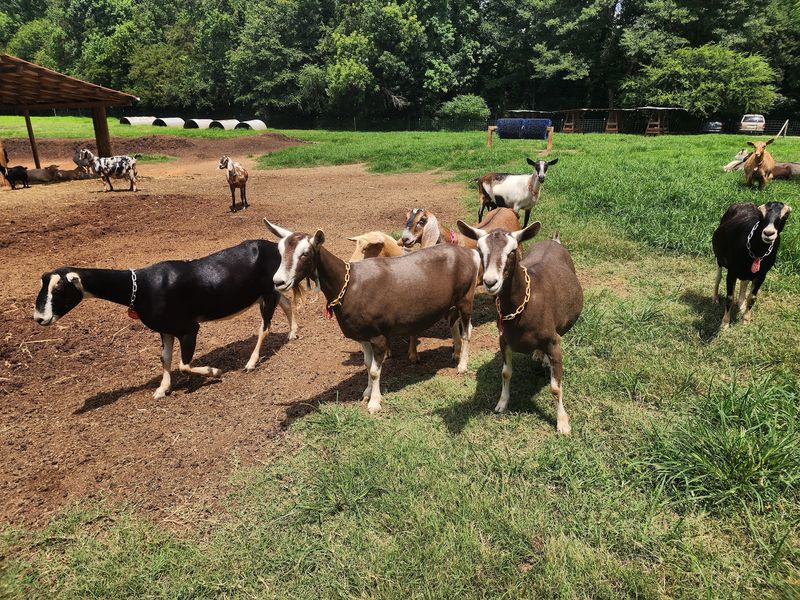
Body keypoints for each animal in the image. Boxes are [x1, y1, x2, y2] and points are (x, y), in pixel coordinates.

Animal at [33, 240, 298, 400]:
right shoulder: (165, 329)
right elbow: (165, 358)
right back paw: (293, 333)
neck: (142, 287)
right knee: (286, 303)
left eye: (59, 289)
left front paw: (213, 371)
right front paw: (162, 389)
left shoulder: (189, 328)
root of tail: (273, 246)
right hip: (269, 290)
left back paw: (251, 362)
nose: (39, 318)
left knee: (265, 326)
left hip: (266, 293)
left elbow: (184, 364)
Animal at [265, 219, 480, 414]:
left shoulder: (378, 336)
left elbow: (376, 371)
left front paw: (374, 403)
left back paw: (462, 365)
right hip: (452, 302)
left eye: (305, 253)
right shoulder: (363, 335)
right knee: (454, 324)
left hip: (466, 299)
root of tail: (471, 254)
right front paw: (366, 393)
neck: (349, 285)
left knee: (467, 331)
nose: (278, 282)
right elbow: (368, 365)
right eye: (280, 252)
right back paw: (455, 353)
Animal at [457, 220, 583, 434]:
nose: (490, 282)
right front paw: (502, 403)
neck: (523, 306)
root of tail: (553, 240)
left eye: (512, 251)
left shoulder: (553, 342)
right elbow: (506, 372)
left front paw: (563, 422)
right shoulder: (504, 340)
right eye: (480, 250)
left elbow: (555, 387)